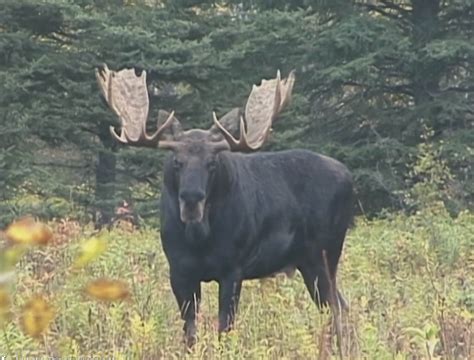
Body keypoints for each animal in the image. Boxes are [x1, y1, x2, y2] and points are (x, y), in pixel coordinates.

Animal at [96, 64, 354, 346]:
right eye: (177, 161)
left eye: (212, 162)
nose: (192, 199)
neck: (199, 239)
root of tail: (349, 177)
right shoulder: (178, 270)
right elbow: (189, 332)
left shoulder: (233, 269)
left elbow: (225, 328)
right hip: (308, 261)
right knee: (340, 306)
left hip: (324, 253)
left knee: (336, 307)